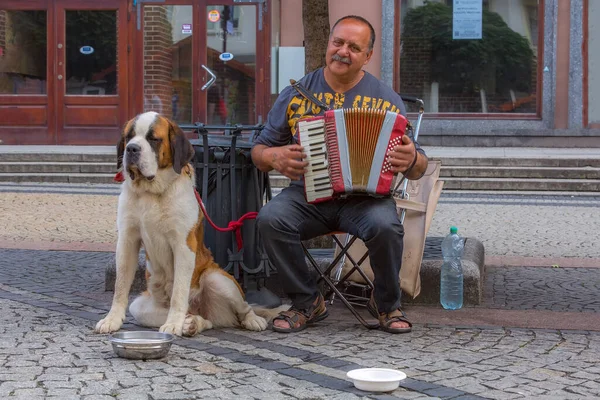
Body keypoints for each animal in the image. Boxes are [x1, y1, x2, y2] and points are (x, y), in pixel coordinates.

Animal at [96, 111, 284, 336]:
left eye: (153, 139)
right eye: (129, 137)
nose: (132, 148)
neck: (152, 193)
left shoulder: (183, 246)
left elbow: (179, 290)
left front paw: (173, 324)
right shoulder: (127, 240)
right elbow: (120, 285)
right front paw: (112, 319)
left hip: (217, 279)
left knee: (244, 307)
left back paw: (252, 320)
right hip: (140, 306)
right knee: (201, 319)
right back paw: (192, 322)